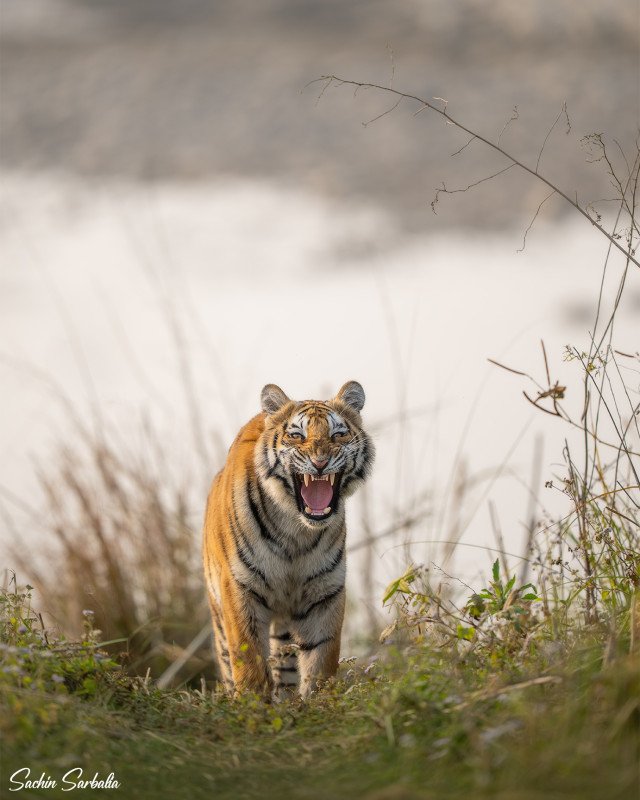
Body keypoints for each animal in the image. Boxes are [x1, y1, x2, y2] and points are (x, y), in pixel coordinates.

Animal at [202, 380, 374, 699]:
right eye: (297, 435)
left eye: (338, 434)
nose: (320, 462)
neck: (297, 531)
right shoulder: (239, 588)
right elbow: (249, 662)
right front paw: (252, 706)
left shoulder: (325, 592)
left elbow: (320, 660)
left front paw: (319, 703)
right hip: (218, 614)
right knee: (228, 661)